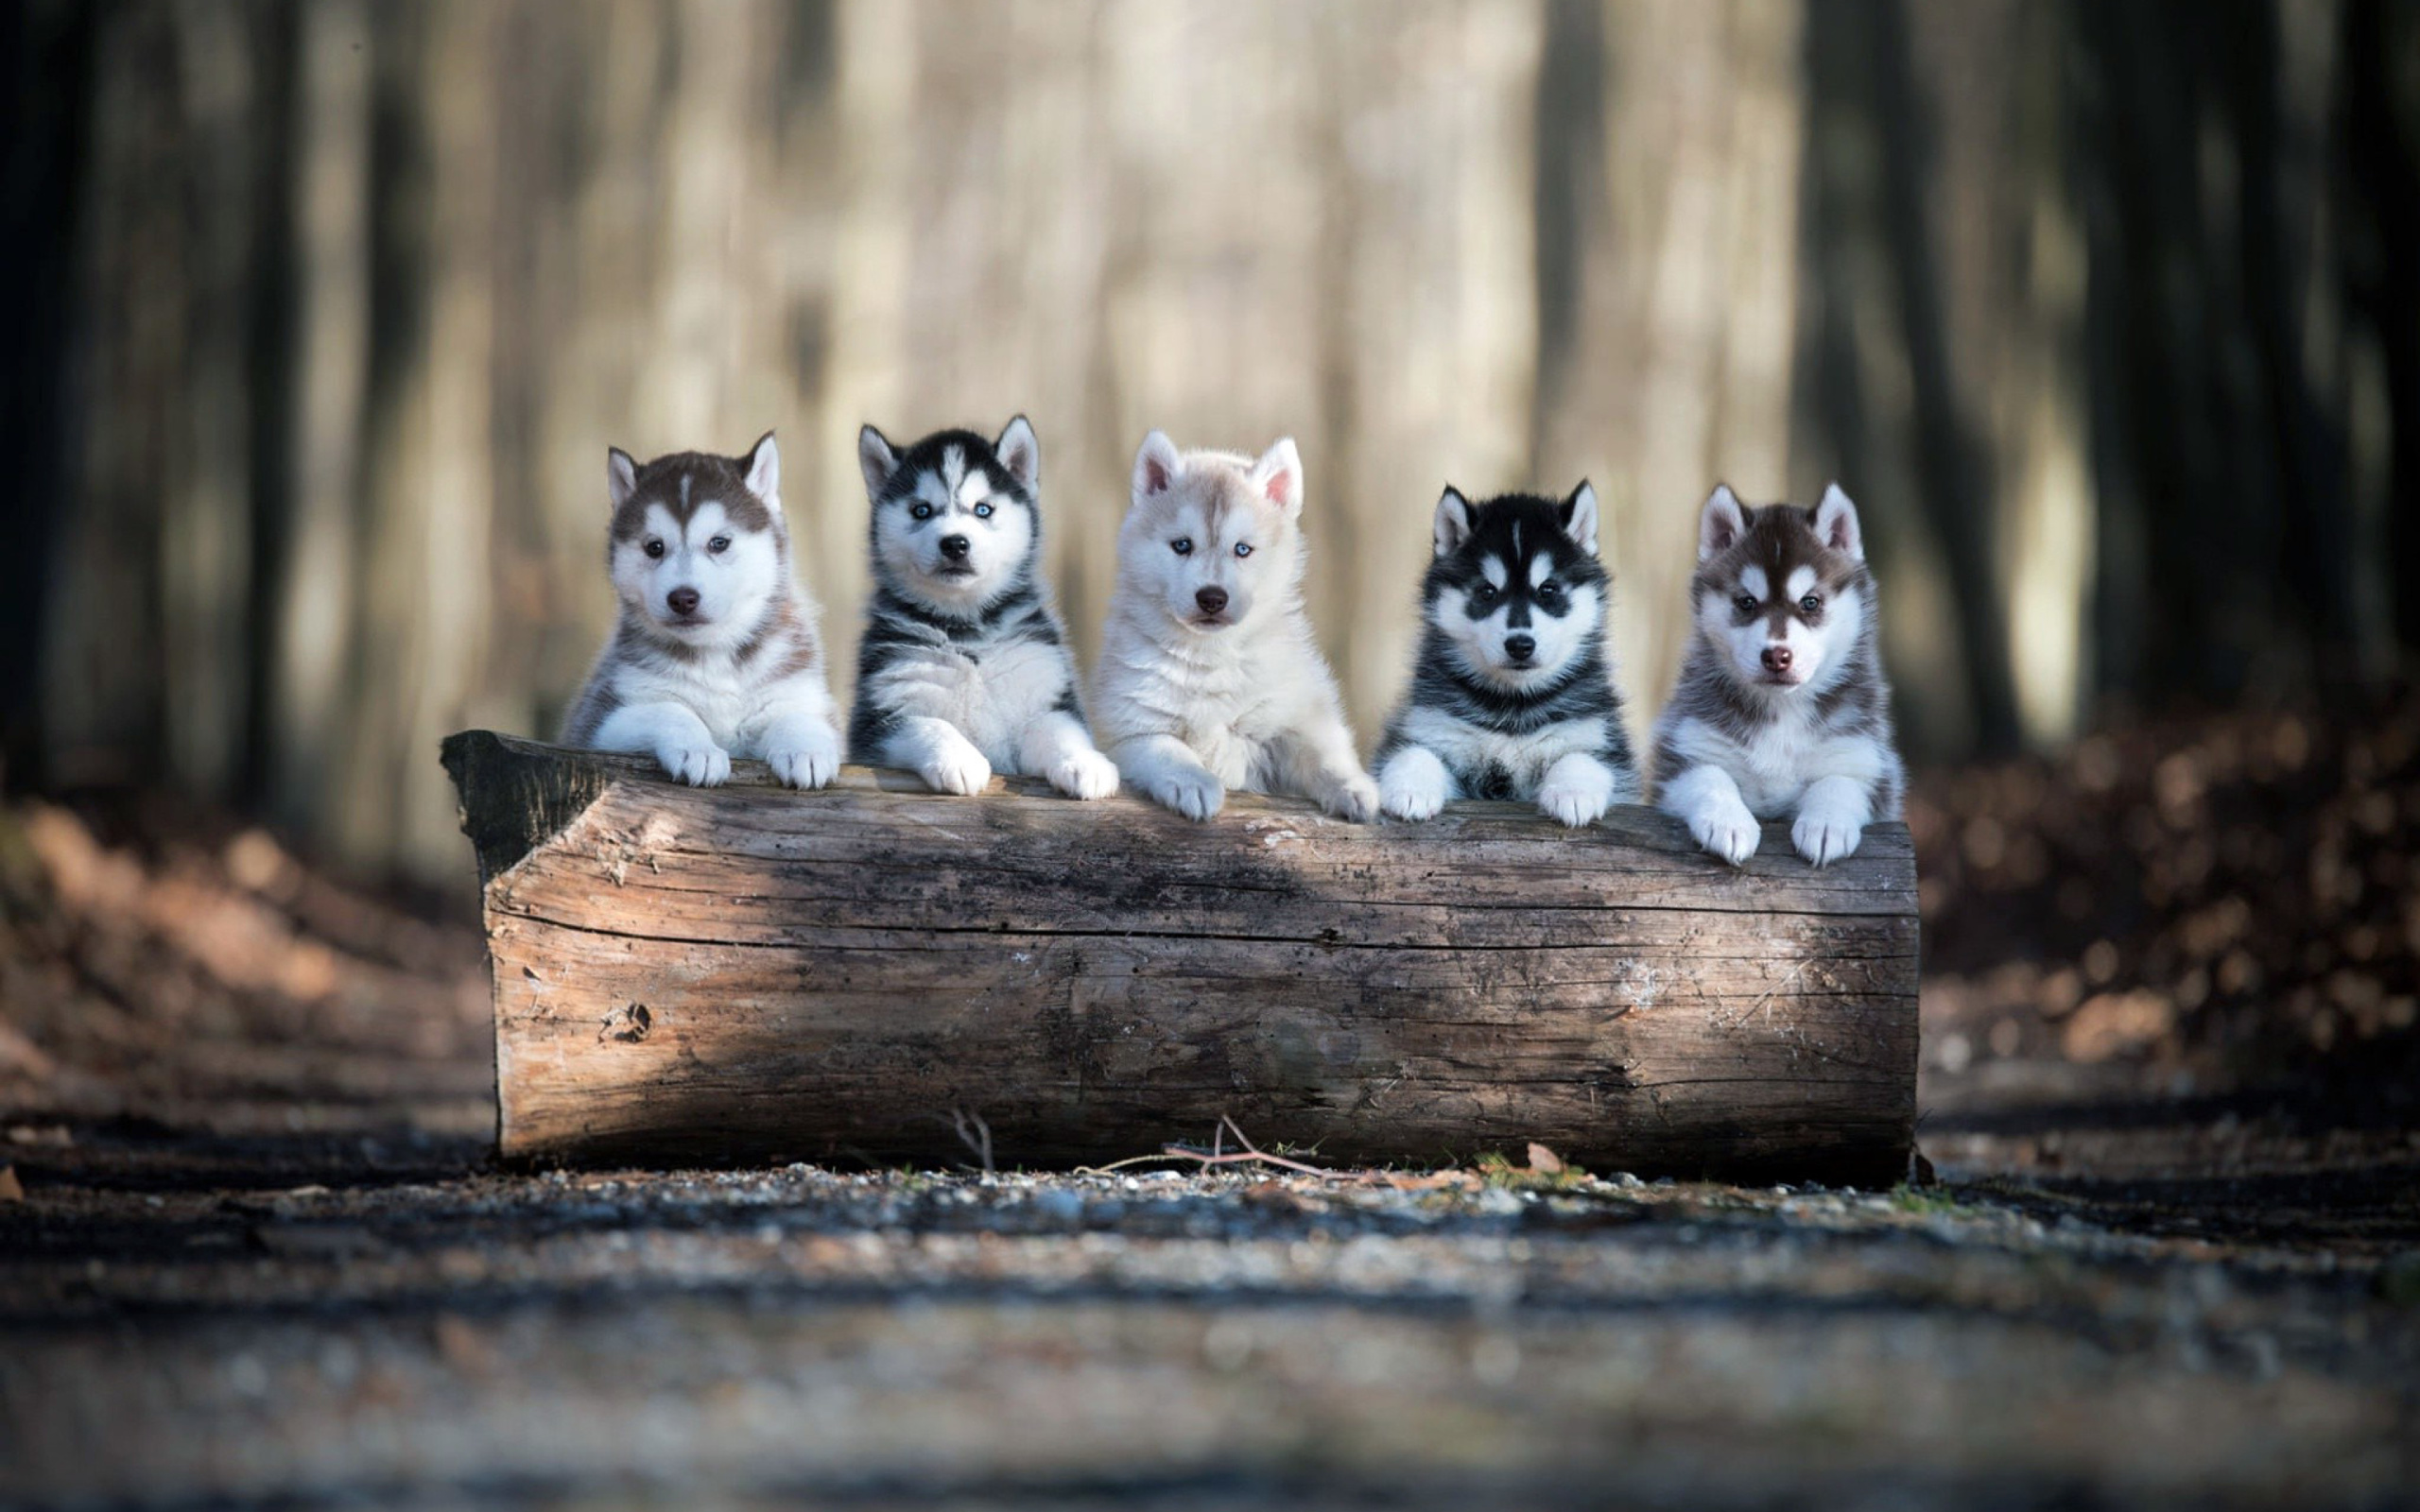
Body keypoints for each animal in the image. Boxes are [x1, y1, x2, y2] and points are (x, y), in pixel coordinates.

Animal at [852, 406, 1113, 798]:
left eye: (983, 510)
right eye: (921, 511)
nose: (955, 543)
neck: (966, 630)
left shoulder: (1044, 694)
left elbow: (1059, 730)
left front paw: (1084, 763)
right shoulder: (881, 717)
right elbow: (928, 723)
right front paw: (958, 758)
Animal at [1098, 430, 1384, 817]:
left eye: (1243, 549)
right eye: (1182, 545)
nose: (1212, 598)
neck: (1210, 656)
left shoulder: (1295, 713)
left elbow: (1322, 753)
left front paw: (1353, 786)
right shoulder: (1131, 729)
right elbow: (1169, 750)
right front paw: (1194, 782)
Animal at [1384, 484, 1645, 827]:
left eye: (1548, 590)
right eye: (1487, 592)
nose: (1520, 644)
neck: (1513, 705)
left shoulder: (1598, 737)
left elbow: (1581, 756)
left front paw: (1573, 792)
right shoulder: (1435, 727)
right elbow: (1415, 752)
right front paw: (1409, 788)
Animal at [1655, 484, 1897, 861]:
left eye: (1810, 602)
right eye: (1746, 602)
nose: (1776, 656)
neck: (1783, 708)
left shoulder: (1864, 758)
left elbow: (1839, 781)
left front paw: (1825, 824)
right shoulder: (1687, 749)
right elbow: (1709, 777)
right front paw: (1728, 822)